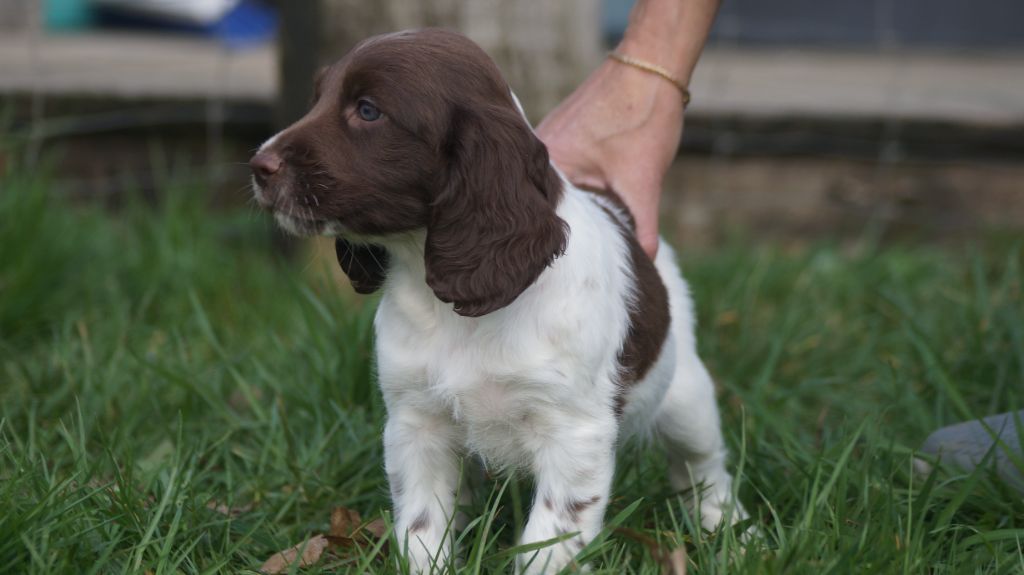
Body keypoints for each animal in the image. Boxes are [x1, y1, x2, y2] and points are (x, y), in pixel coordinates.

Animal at [247, 28, 745, 572]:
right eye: (317, 98)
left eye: (368, 110)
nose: (258, 166)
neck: (452, 307)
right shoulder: (416, 422)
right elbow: (422, 525)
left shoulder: (574, 434)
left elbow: (549, 542)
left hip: (684, 398)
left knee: (704, 467)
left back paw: (732, 533)